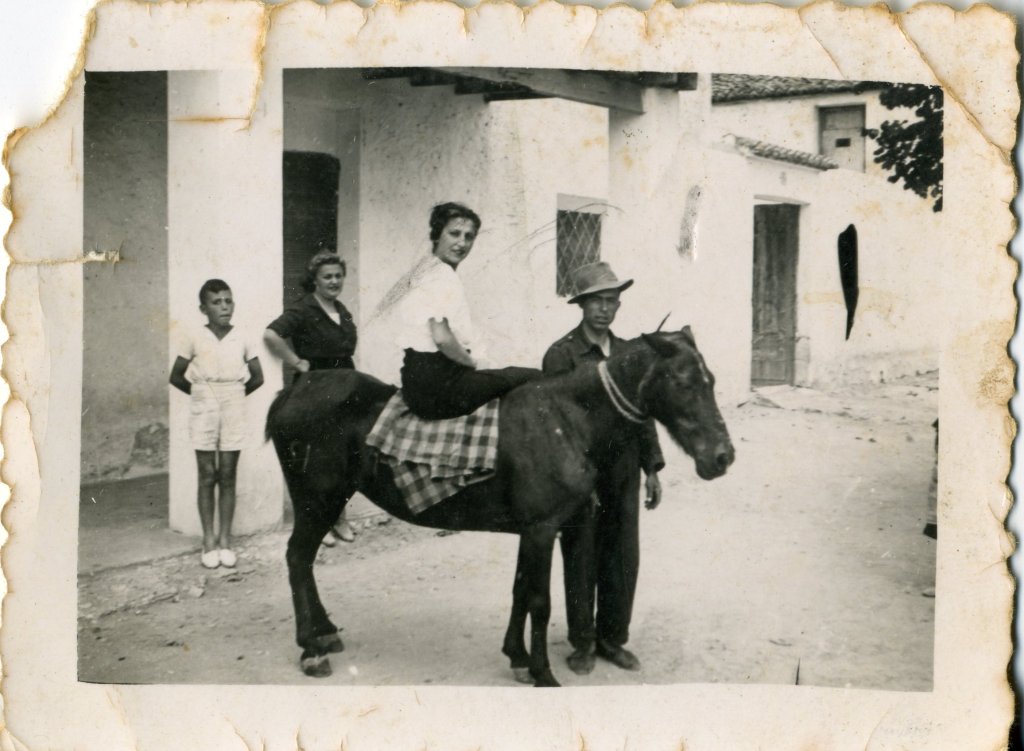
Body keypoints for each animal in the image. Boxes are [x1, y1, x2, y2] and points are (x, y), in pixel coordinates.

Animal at [266, 326, 735, 687]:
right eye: (684, 382)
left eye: (711, 380)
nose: (723, 456)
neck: (566, 418)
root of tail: (293, 389)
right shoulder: (543, 528)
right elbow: (540, 601)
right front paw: (543, 673)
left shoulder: (539, 530)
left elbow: (520, 591)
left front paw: (519, 658)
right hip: (318, 501)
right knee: (296, 558)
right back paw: (311, 648)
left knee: (303, 562)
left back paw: (325, 633)